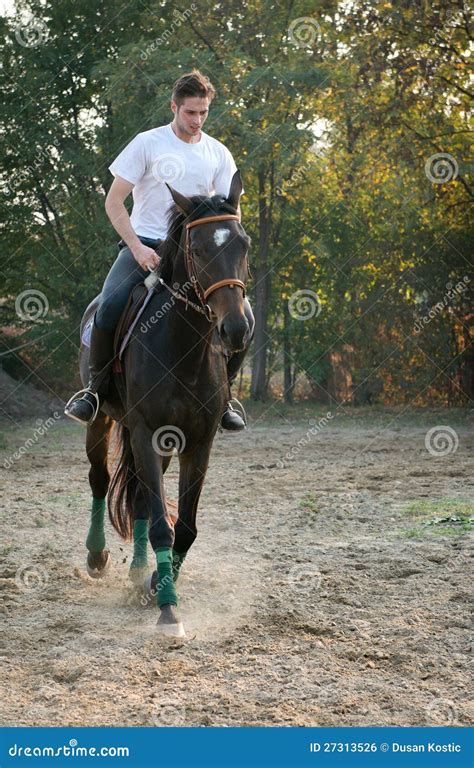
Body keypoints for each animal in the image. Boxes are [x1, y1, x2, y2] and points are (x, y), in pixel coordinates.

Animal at [78, 171, 251, 637]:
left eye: (243, 245)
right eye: (198, 249)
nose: (236, 328)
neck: (180, 349)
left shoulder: (198, 442)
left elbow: (184, 527)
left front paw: (158, 581)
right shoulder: (142, 431)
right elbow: (161, 525)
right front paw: (168, 611)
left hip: (164, 445)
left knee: (138, 495)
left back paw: (139, 569)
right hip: (101, 422)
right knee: (100, 480)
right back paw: (97, 557)